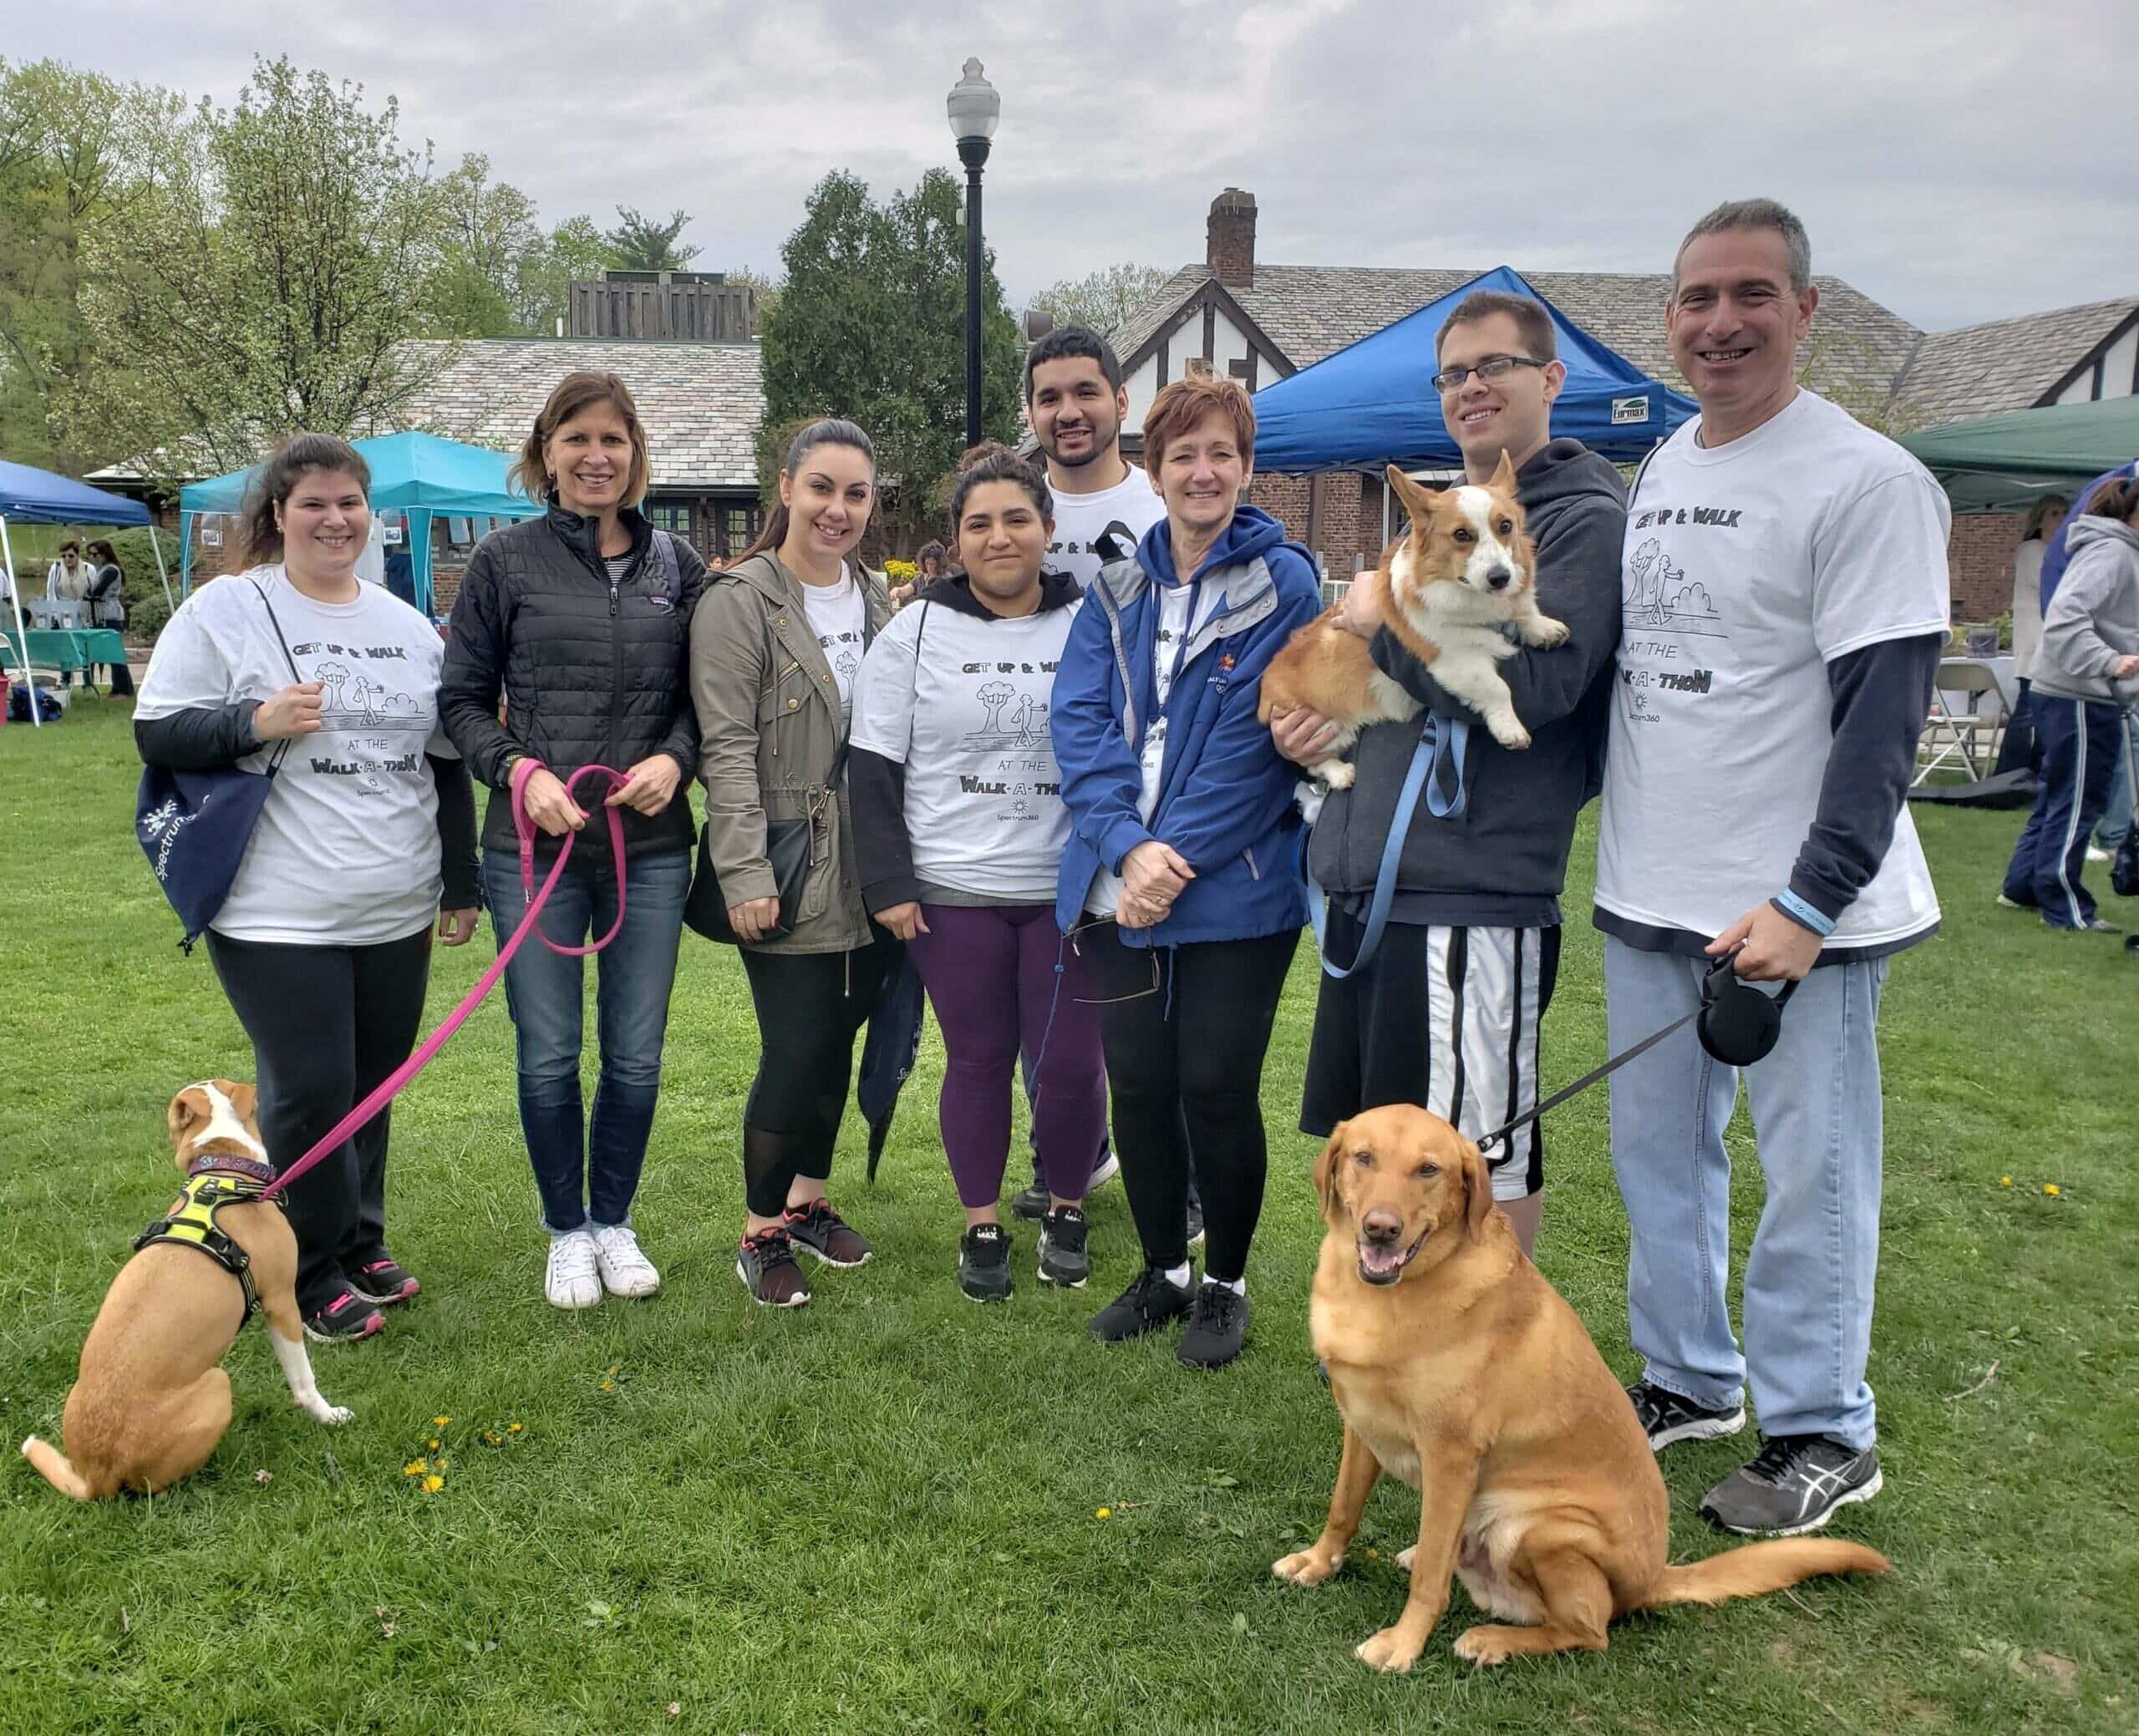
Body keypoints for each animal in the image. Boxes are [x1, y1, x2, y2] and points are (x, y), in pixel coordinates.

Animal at [20, 1077, 348, 1496]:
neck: (223, 1173)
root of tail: (96, 1475)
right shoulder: (281, 1302)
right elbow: (304, 1378)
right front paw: (328, 1415)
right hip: (217, 1384)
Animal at [1249, 455, 1574, 778]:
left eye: (1506, 526)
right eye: (1461, 534)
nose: (1500, 578)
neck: (1470, 596)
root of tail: (1265, 691)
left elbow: (1525, 611)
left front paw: (1544, 628)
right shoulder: (1456, 661)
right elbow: (1498, 688)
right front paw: (1511, 729)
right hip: (1323, 725)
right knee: (1315, 761)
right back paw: (1341, 774)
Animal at [1266, 1111, 1891, 1667]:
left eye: (1428, 1170)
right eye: (1363, 1158)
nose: (1381, 1227)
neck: (1381, 1298)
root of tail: (1655, 1578)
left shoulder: (1451, 1455)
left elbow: (1429, 1581)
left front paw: (1403, 1643)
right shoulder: (1361, 1425)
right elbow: (1343, 1508)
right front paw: (1319, 1562)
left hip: (1535, 1526)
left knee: (1588, 1629)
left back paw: (1494, 1640)